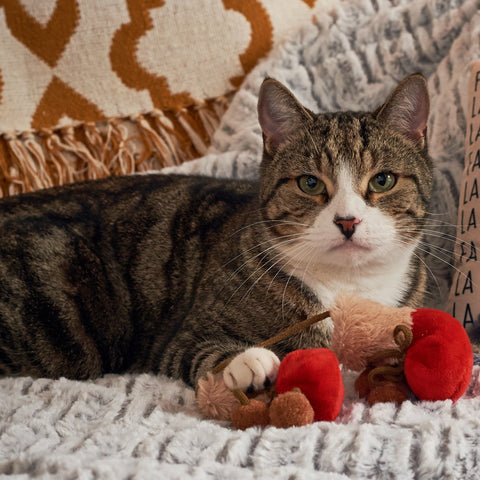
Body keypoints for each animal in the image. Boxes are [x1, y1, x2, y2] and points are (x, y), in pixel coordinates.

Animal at [0, 74, 432, 390]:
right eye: (310, 183)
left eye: (382, 180)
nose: (347, 221)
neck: (350, 285)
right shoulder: (183, 334)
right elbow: (202, 349)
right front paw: (246, 360)